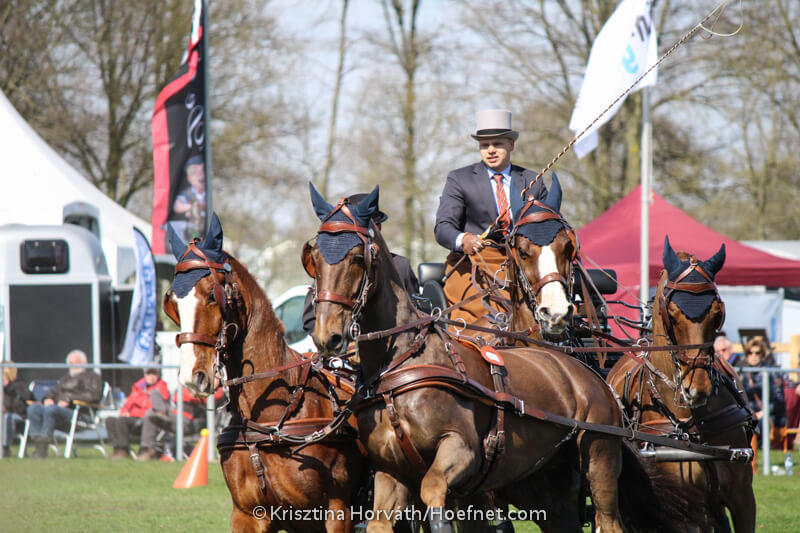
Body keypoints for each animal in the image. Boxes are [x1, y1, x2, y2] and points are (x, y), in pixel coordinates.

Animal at [164, 215, 366, 533]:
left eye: (212, 295)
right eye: (173, 302)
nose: (191, 376)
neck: (272, 418)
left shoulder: (338, 512)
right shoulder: (248, 515)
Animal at [303, 184, 696, 533]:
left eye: (358, 257)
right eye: (314, 259)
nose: (327, 336)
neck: (402, 364)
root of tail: (587, 374)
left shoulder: (462, 453)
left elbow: (435, 492)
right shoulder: (390, 473)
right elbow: (382, 521)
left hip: (599, 459)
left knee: (608, 521)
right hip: (545, 484)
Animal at [606, 237, 756, 532]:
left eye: (717, 312)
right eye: (672, 313)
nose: (696, 388)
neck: (693, 424)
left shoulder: (743, 498)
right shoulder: (684, 508)